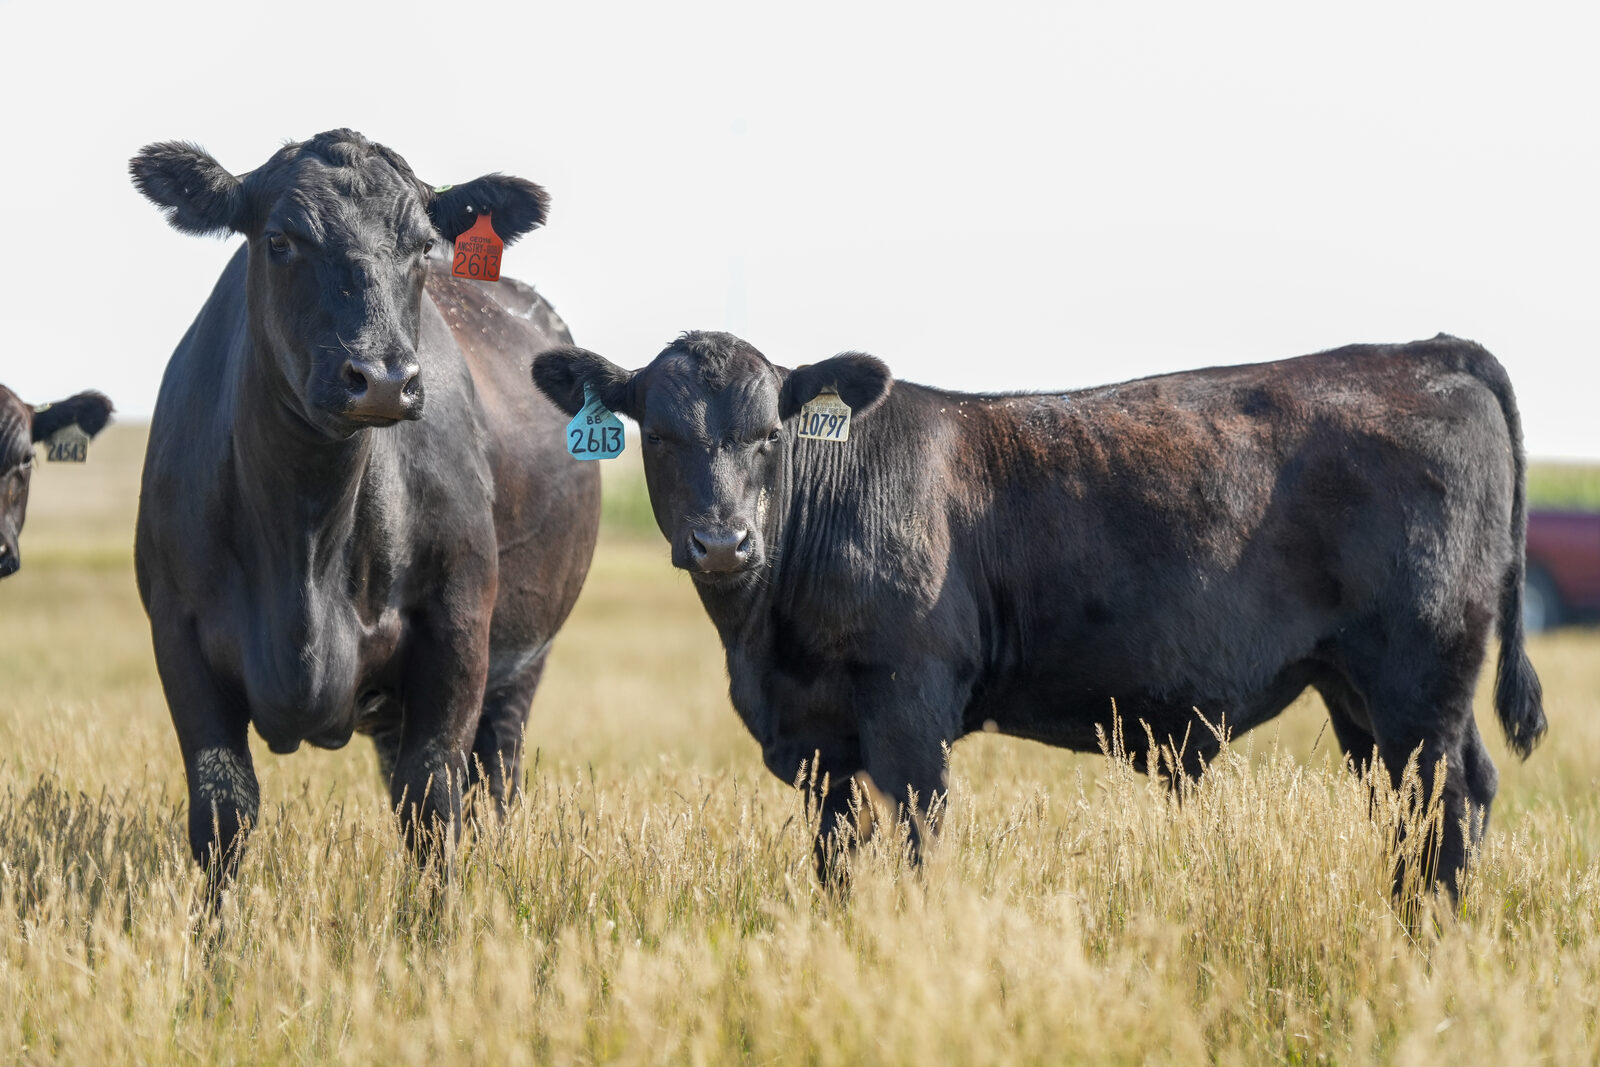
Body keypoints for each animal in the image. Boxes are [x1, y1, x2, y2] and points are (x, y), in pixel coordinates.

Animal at [131, 130, 601, 875]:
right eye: (281, 240)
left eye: (420, 244)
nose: (381, 377)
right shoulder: (179, 634)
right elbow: (222, 808)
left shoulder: (457, 627)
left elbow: (432, 803)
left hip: (524, 662)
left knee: (493, 781)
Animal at [533, 330, 1546, 895]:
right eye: (661, 435)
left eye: (768, 434)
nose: (723, 541)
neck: (763, 642)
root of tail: (1426, 353)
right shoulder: (821, 745)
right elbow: (837, 865)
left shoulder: (909, 711)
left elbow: (918, 846)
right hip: (1361, 692)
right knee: (1431, 805)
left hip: (1417, 676)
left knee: (1448, 804)